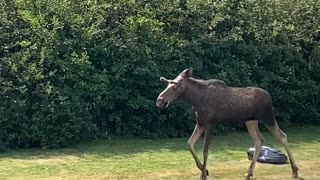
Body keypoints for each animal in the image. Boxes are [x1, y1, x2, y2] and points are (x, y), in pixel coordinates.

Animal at [156, 68, 298, 180]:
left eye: (174, 87)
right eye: (167, 85)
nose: (159, 100)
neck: (194, 100)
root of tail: (270, 96)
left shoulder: (210, 124)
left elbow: (205, 151)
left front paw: (203, 175)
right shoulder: (200, 123)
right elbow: (189, 143)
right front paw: (204, 170)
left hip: (268, 118)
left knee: (282, 136)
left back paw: (295, 171)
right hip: (250, 121)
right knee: (259, 141)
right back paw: (248, 173)